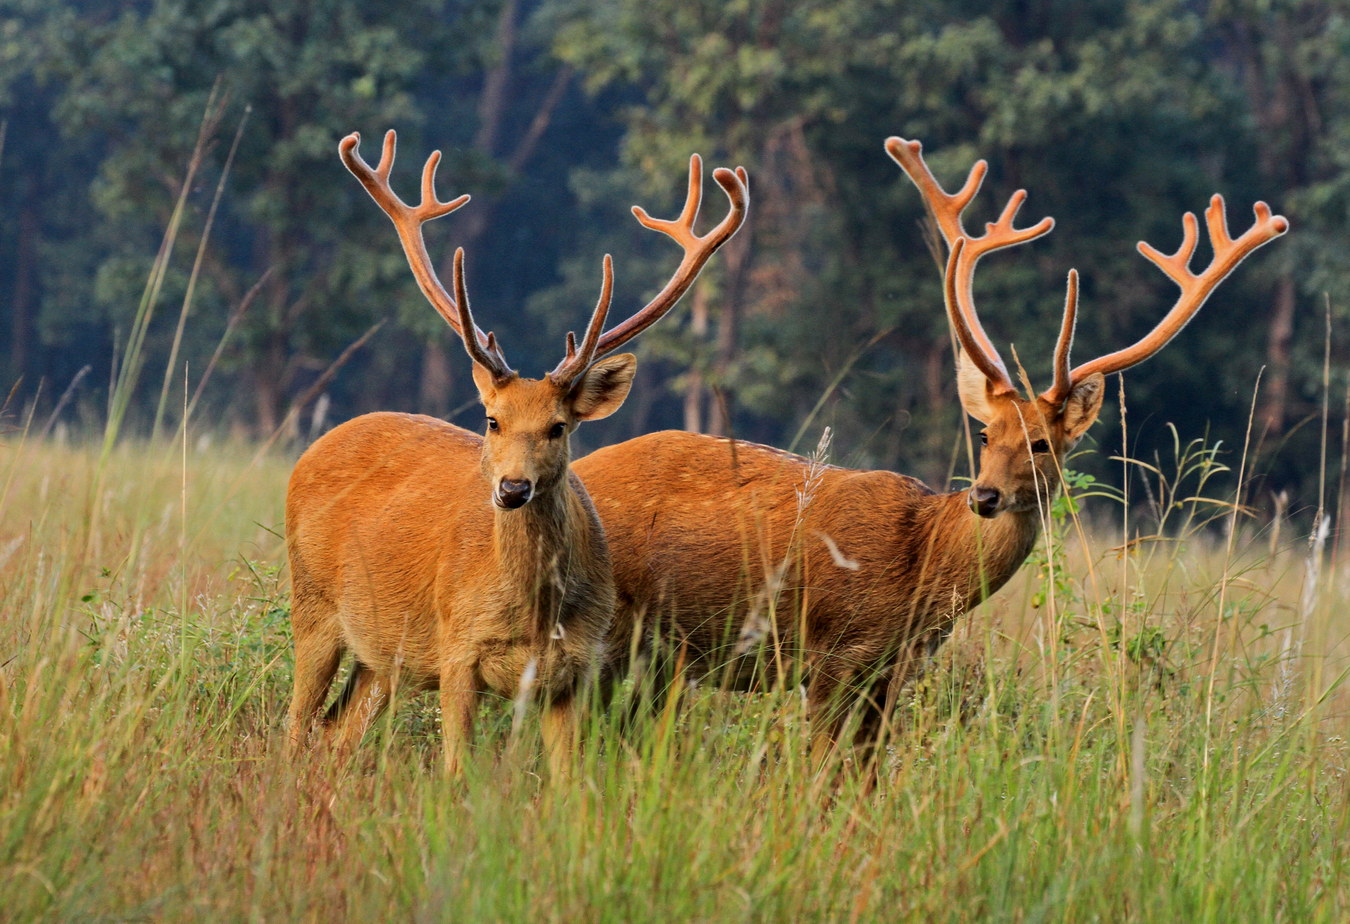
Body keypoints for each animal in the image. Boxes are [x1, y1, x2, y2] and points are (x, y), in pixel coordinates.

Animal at [284, 129, 750, 778]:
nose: (511, 489)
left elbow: (568, 779)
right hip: (312, 604)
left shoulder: (577, 667)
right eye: (492, 420)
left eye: (559, 427)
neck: (533, 617)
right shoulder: (456, 648)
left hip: (382, 655)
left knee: (335, 730)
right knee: (294, 723)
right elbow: (458, 769)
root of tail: (316, 446)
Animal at [572, 139, 1285, 756]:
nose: (986, 495)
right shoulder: (834, 653)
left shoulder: (892, 670)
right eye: (986, 434)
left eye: (1042, 444)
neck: (921, 571)